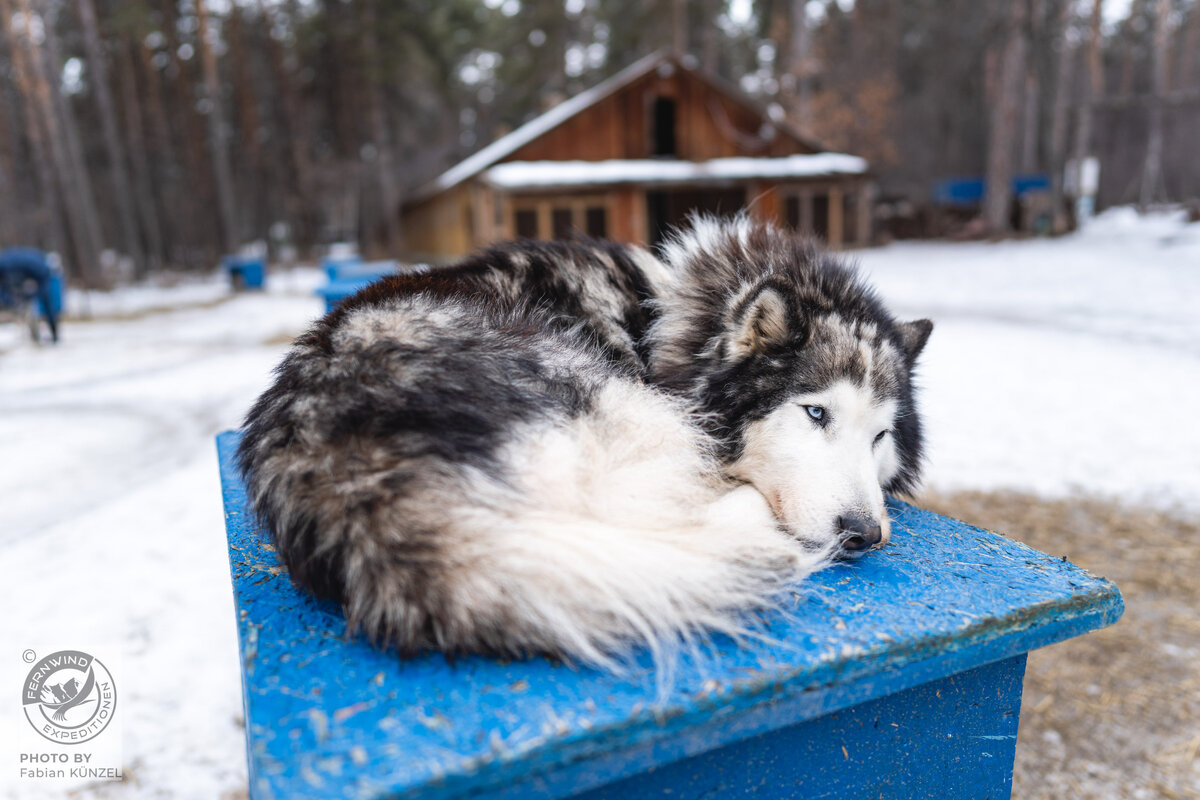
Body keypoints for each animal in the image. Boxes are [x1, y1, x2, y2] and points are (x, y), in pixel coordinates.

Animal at [234, 217, 926, 671]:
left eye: (880, 435)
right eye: (815, 412)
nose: (864, 533)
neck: (667, 317)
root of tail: (345, 472)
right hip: (614, 401)